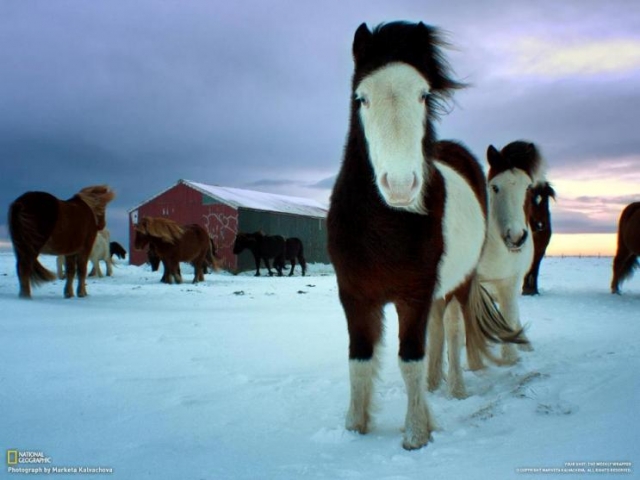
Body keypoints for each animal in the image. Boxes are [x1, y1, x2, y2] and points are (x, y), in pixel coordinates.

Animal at [324, 21, 524, 450]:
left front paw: (416, 433)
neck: (384, 229)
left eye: (423, 95)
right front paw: (355, 427)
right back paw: (435, 386)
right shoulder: (354, 296)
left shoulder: (413, 296)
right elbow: (359, 361)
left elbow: (409, 359)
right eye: (361, 98)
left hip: (459, 285)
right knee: (436, 330)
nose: (400, 186)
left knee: (452, 330)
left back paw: (455, 388)